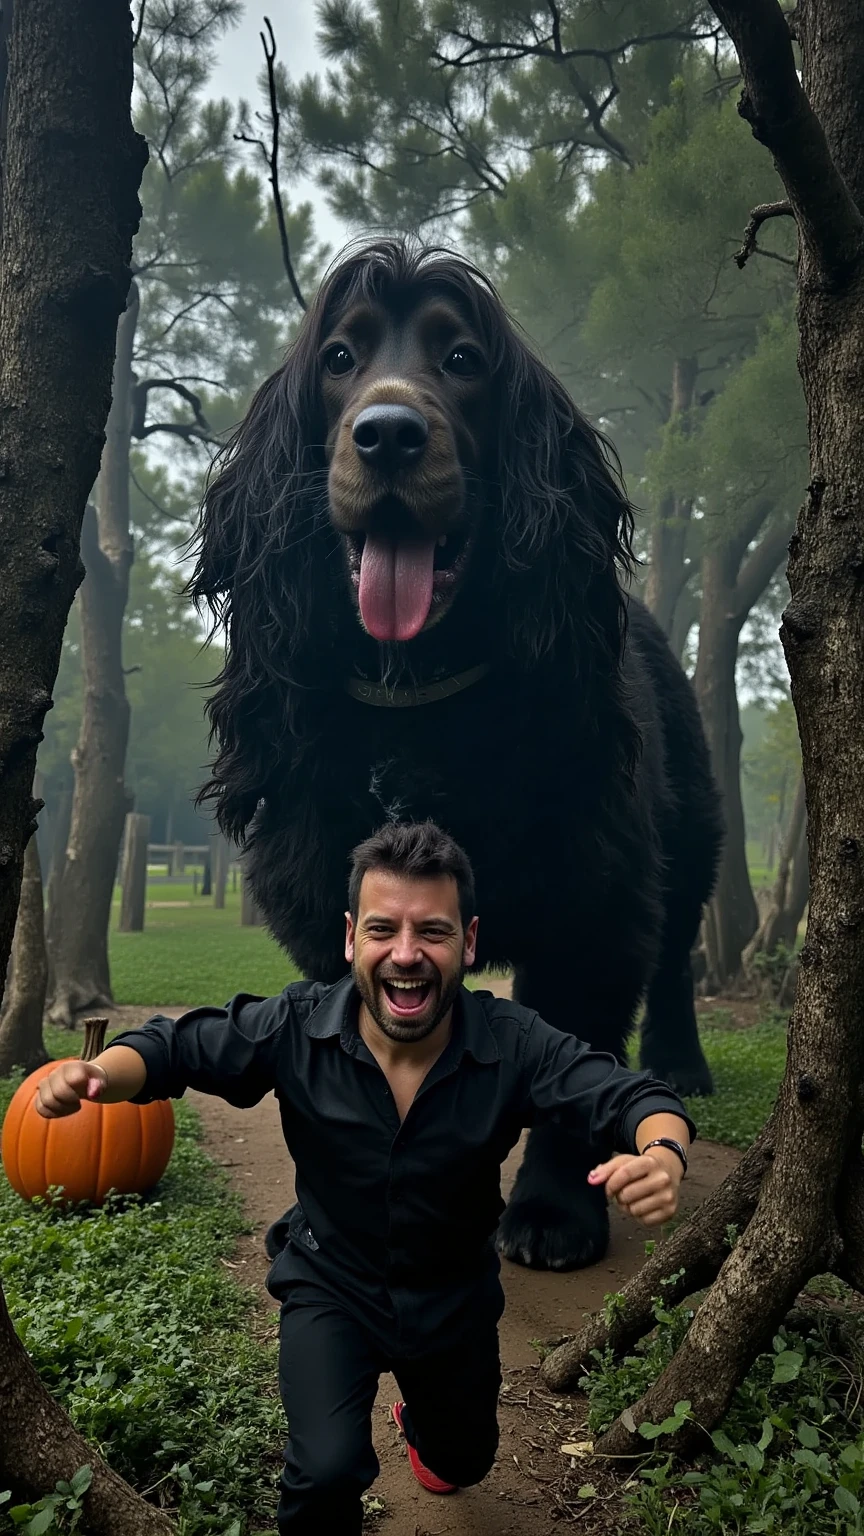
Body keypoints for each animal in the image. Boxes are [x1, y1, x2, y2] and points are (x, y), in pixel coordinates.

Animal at [189, 239, 719, 1271]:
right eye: (339, 359)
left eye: (464, 360)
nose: (387, 435)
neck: (414, 701)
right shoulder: (324, 895)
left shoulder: (593, 900)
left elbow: (579, 1052)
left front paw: (554, 1211)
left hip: (693, 832)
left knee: (677, 954)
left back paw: (680, 1059)